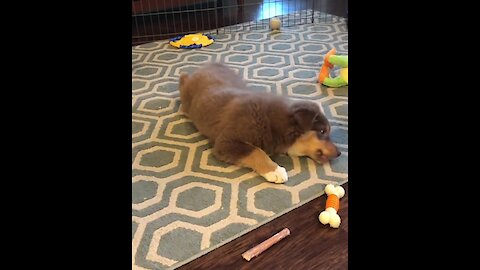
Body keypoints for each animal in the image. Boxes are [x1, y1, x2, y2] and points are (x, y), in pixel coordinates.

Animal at [178, 62, 340, 184]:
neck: (272, 122)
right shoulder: (225, 143)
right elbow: (256, 151)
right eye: (322, 131)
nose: (339, 153)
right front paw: (275, 170)